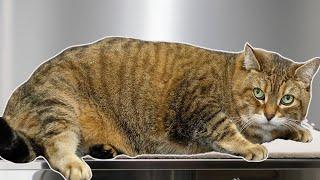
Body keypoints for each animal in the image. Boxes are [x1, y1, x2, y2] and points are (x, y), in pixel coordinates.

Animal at [0, 37, 318, 180]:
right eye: (258, 93)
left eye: (287, 99)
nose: (269, 113)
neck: (227, 77)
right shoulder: (197, 108)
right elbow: (227, 129)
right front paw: (250, 145)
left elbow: (278, 129)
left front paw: (297, 131)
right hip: (58, 106)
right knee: (55, 147)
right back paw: (75, 164)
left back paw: (104, 149)